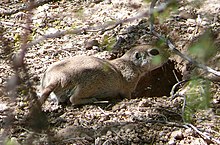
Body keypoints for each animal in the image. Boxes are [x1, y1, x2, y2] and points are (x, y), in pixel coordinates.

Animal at [39, 44, 168, 105]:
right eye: (154, 52)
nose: (169, 54)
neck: (130, 63)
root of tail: (57, 77)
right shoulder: (129, 83)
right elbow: (127, 95)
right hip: (87, 86)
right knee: (73, 99)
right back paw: (92, 100)